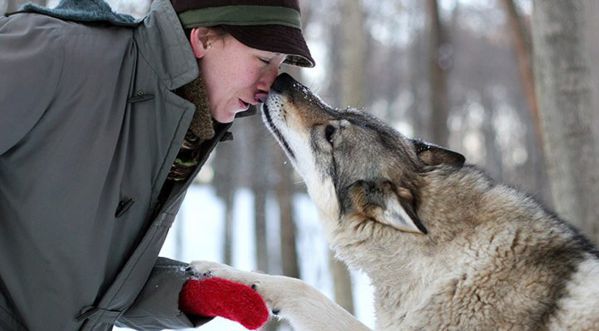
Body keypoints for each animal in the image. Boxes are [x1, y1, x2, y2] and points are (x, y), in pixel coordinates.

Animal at [192, 74, 599, 331]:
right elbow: (301, 288)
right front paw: (222, 273)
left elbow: (303, 287)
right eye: (342, 111)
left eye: (330, 134)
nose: (282, 78)